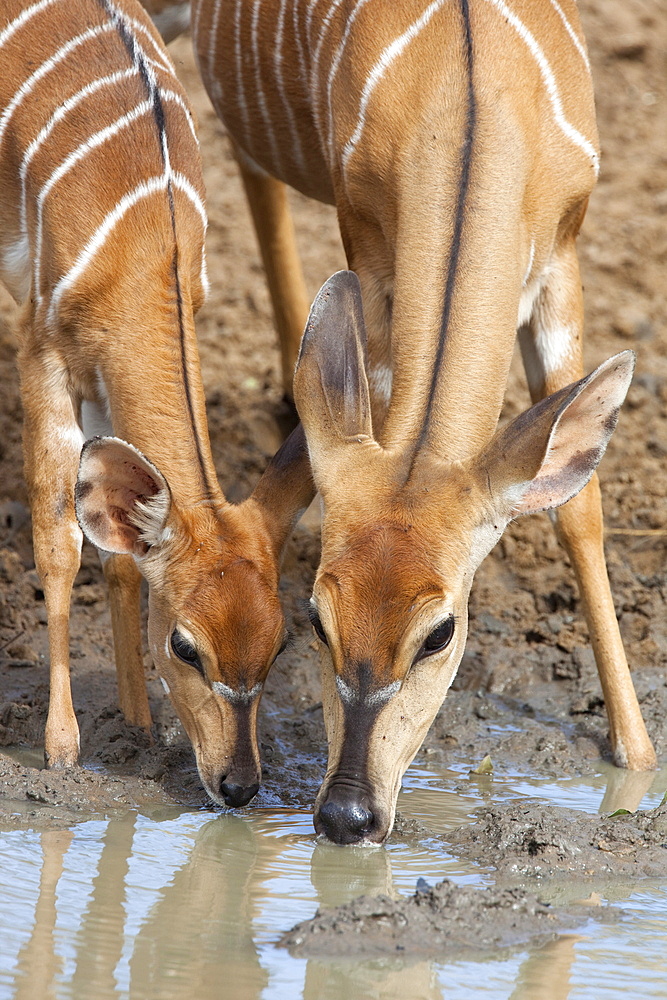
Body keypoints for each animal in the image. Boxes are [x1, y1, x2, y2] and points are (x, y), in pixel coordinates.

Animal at [0, 0, 310, 804]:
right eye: (186, 645)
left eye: (278, 645)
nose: (239, 786)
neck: (143, 248)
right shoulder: (42, 349)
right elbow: (58, 546)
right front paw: (62, 748)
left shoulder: (106, 381)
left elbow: (116, 555)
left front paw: (137, 728)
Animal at [196, 0, 660, 844]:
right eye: (315, 617)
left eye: (439, 633)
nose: (346, 814)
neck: (471, 103)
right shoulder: (368, 251)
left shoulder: (562, 259)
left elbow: (578, 509)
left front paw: (635, 760)